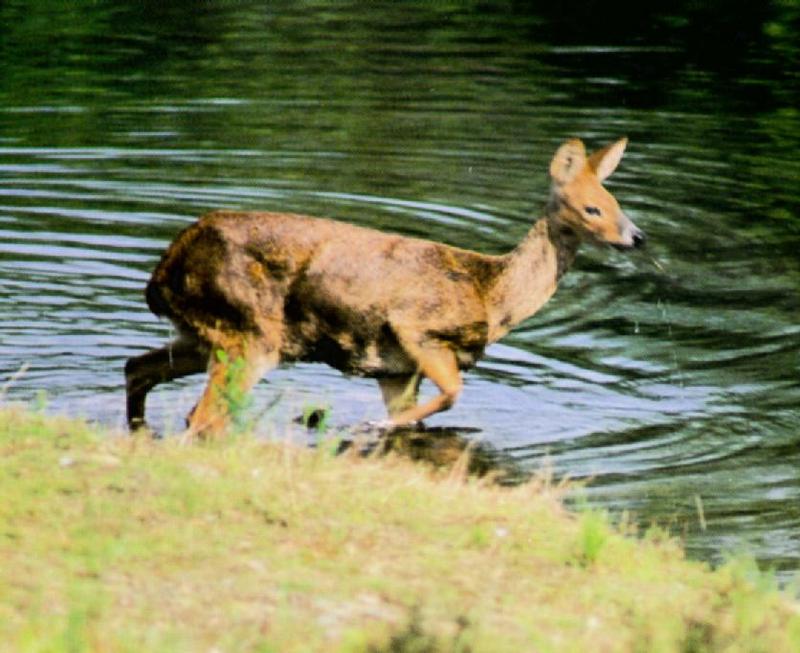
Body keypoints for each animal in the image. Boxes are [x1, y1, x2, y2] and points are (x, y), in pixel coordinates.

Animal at [128, 139, 648, 440]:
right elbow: (453, 393)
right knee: (203, 415)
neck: (493, 293)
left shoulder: (397, 370)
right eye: (592, 208)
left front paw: (379, 423)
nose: (637, 236)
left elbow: (421, 410)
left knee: (138, 367)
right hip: (248, 331)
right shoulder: (416, 328)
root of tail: (163, 272)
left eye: (616, 202)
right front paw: (367, 424)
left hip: (205, 331)